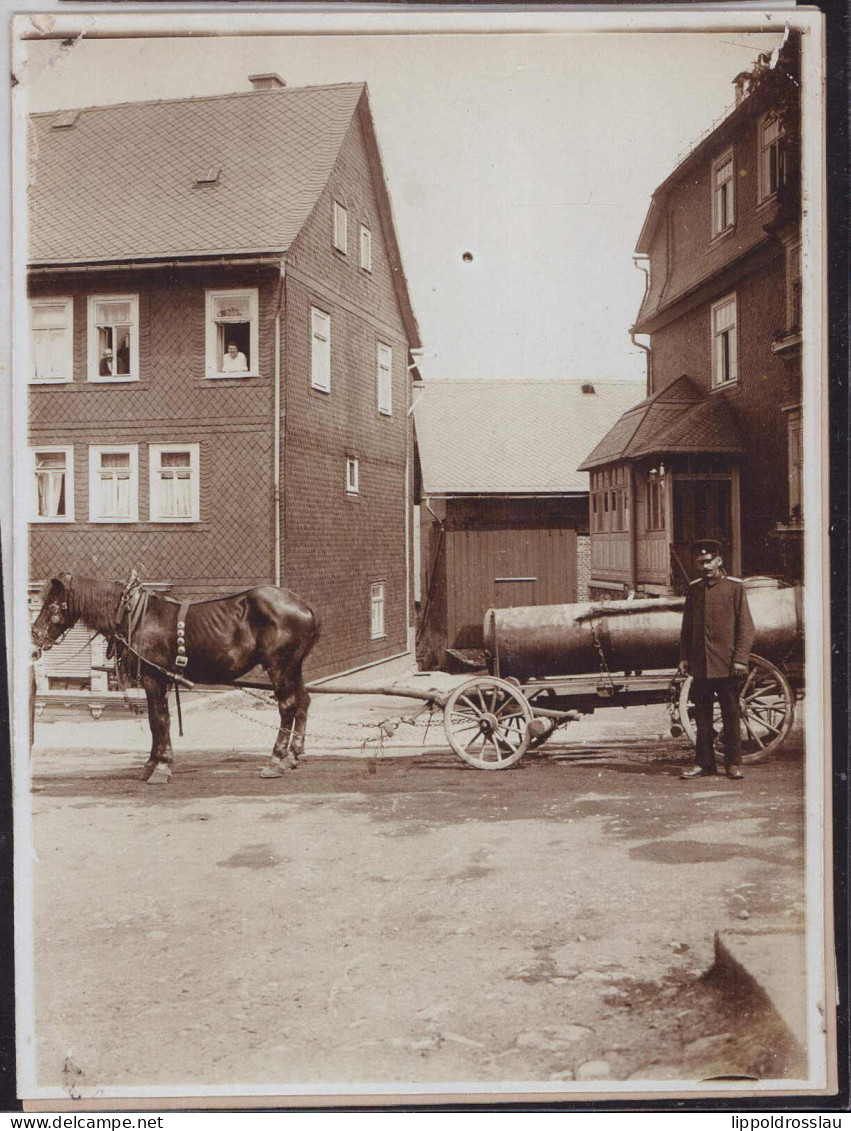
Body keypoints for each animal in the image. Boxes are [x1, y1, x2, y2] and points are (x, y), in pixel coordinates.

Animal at [31, 574, 319, 787]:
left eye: (52, 605)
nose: (35, 634)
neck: (134, 616)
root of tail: (303, 605)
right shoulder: (160, 680)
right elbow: (157, 721)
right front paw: (151, 763)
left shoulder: (153, 678)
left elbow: (158, 720)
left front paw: (161, 766)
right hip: (294, 667)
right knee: (303, 701)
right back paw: (292, 755)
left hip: (280, 667)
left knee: (287, 706)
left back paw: (275, 760)